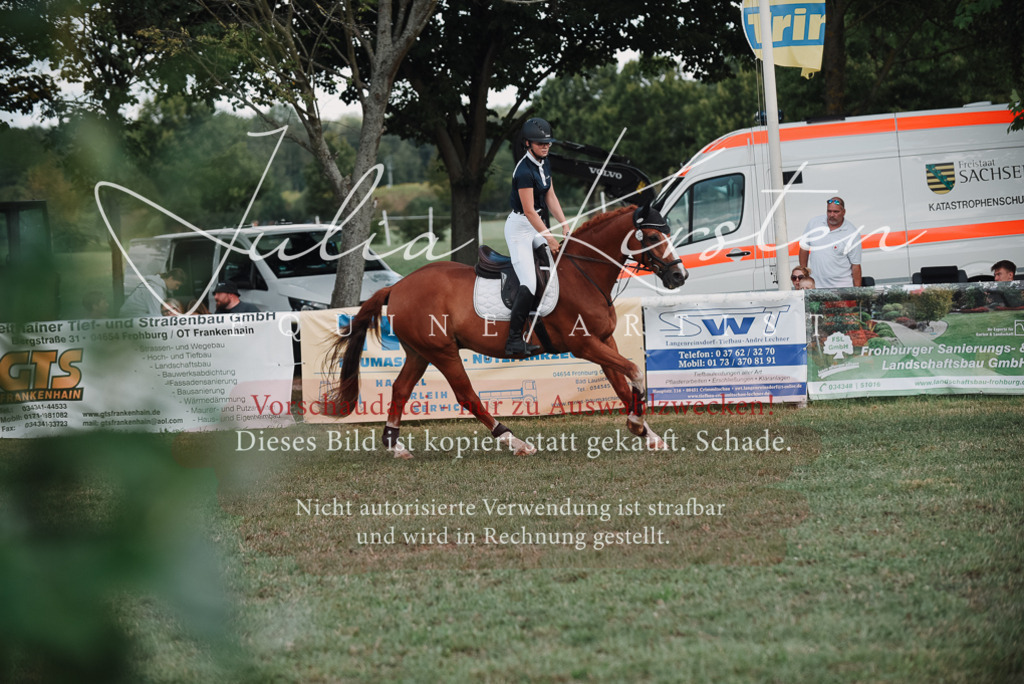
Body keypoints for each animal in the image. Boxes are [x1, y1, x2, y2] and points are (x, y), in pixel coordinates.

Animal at [326, 204, 688, 458]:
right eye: (653, 238)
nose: (679, 276)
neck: (582, 273)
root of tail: (398, 287)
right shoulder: (584, 344)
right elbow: (633, 371)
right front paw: (637, 425)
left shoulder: (603, 340)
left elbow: (621, 384)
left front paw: (646, 433)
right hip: (442, 352)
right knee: (467, 395)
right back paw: (515, 441)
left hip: (419, 351)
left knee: (401, 389)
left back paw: (395, 446)